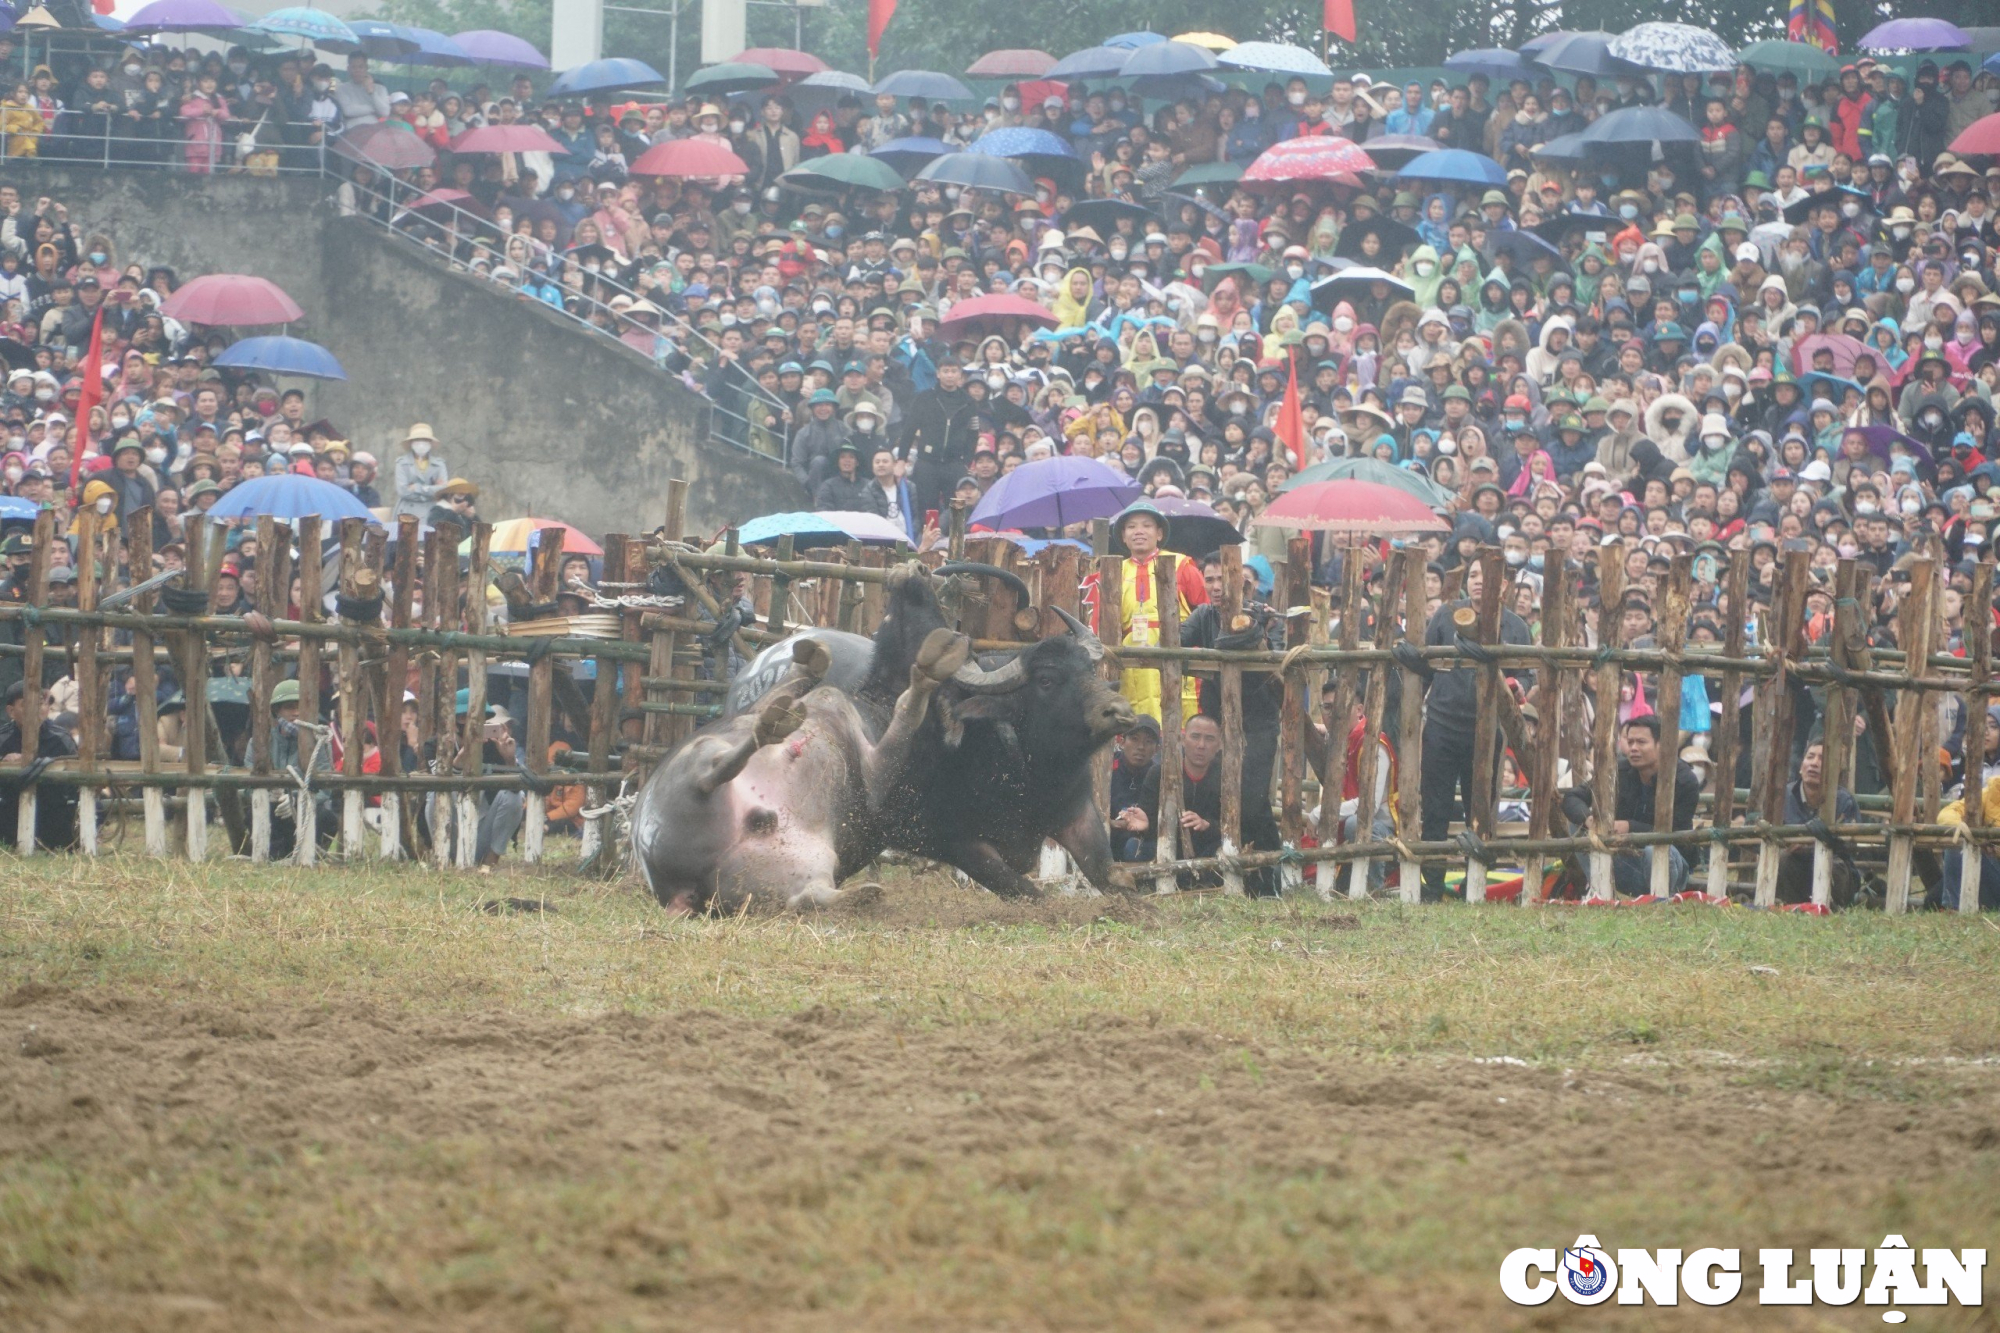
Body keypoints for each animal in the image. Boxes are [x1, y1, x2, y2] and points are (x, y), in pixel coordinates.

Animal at [624, 624, 968, 912]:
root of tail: (681, 890)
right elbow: (781, 693)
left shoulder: (869, 774)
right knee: (715, 771)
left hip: (791, 866)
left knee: (805, 896)